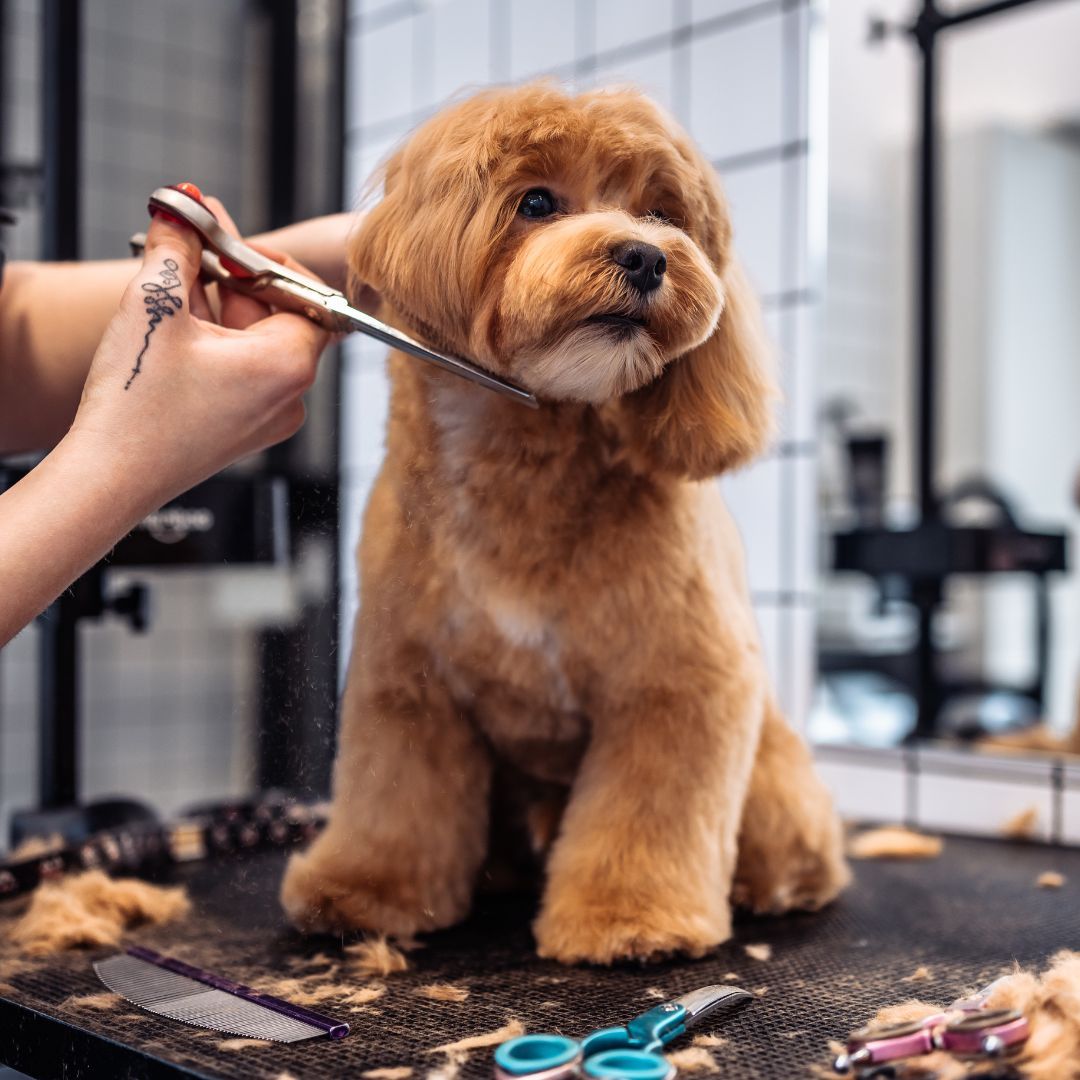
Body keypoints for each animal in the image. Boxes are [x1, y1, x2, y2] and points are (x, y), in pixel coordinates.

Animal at [280, 82, 851, 963]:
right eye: (537, 203)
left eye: (663, 213)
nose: (646, 256)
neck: (525, 467)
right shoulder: (407, 681)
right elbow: (394, 800)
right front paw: (366, 890)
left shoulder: (679, 682)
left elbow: (647, 814)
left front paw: (630, 919)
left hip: (772, 780)